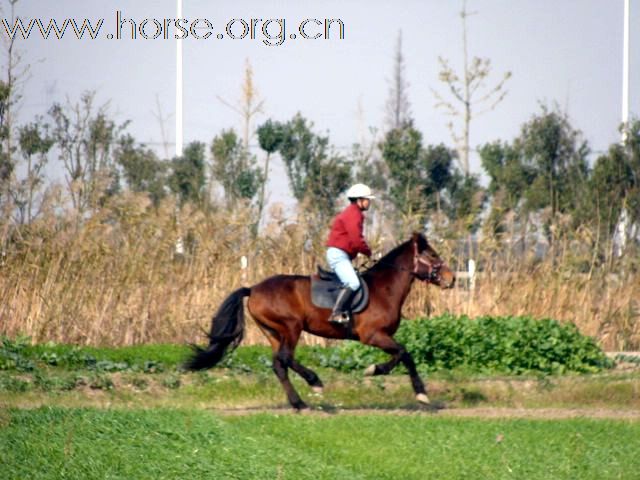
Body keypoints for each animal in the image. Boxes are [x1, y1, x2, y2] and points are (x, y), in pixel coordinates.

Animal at [185, 232, 456, 408]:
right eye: (433, 255)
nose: (451, 279)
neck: (385, 288)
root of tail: (252, 288)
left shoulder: (381, 337)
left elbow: (402, 355)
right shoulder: (373, 336)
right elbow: (404, 353)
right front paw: (398, 382)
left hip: (273, 332)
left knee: (279, 365)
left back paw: (298, 403)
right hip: (291, 327)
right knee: (286, 358)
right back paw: (314, 382)